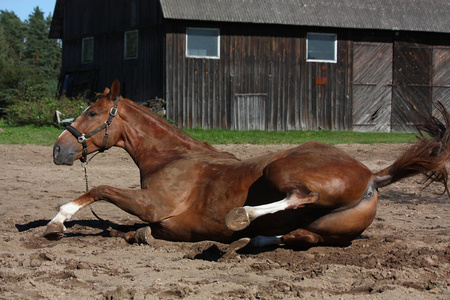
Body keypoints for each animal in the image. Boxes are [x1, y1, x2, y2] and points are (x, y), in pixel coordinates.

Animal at [45, 79, 450, 251]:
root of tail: (372, 176)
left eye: (92, 113)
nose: (57, 150)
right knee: (301, 236)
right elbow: (122, 228)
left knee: (301, 195)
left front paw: (58, 221)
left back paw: (241, 218)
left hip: (282, 170)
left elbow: (99, 189)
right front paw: (135, 234)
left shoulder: (155, 205)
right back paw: (248, 239)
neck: (171, 158)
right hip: (327, 228)